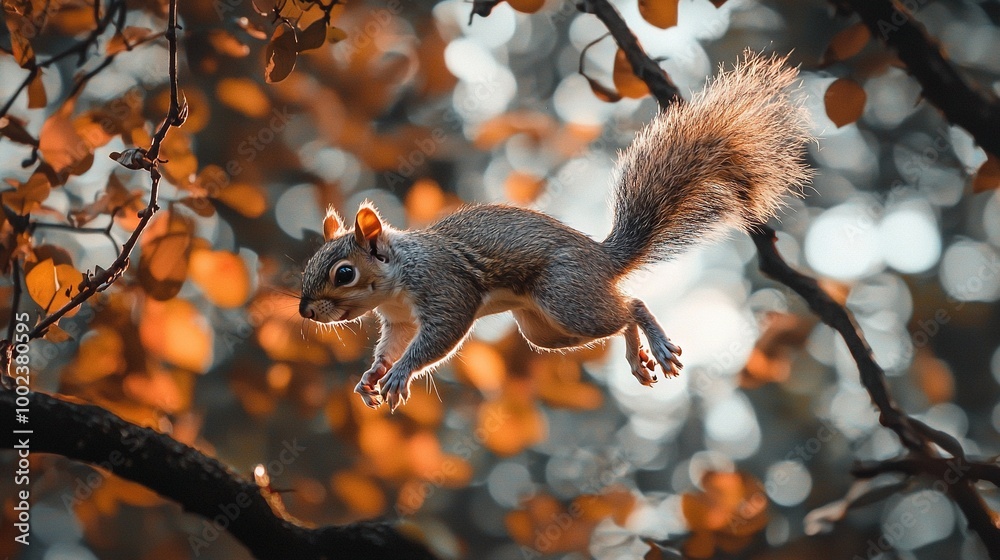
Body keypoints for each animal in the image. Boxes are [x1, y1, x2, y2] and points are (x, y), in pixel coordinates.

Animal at [299, 51, 812, 411]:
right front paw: (372, 376)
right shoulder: (400, 320)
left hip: (565, 295)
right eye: (308, 269)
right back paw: (638, 356)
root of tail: (602, 258)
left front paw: (400, 374)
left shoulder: (445, 287)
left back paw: (658, 345)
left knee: (631, 305)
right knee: (618, 317)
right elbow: (393, 344)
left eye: (343, 273)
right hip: (544, 331)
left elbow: (439, 337)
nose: (305, 312)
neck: (399, 278)